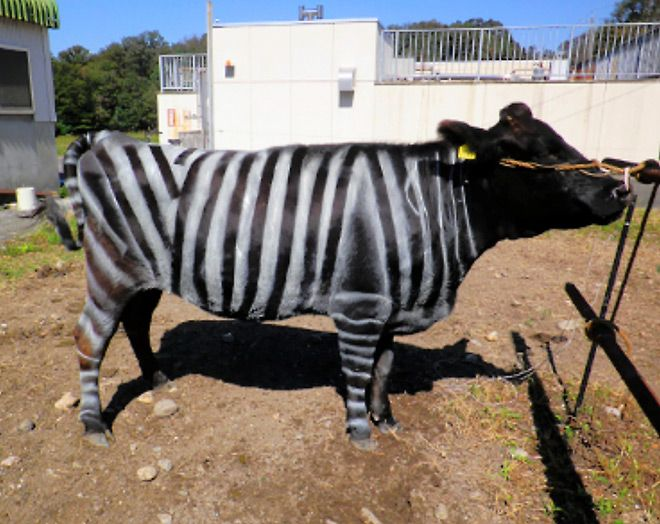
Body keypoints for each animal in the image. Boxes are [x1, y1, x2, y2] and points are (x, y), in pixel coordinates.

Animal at [47, 103, 630, 450]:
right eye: (530, 156)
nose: (621, 190)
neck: (429, 208)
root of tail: (109, 140)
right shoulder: (360, 305)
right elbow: (355, 371)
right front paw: (360, 434)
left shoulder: (393, 303)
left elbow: (384, 368)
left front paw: (386, 419)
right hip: (111, 268)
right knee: (90, 338)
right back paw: (94, 425)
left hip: (146, 274)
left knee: (137, 323)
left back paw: (157, 378)